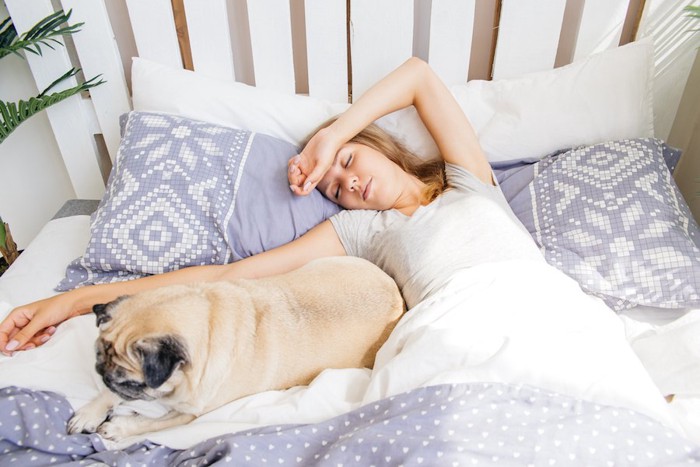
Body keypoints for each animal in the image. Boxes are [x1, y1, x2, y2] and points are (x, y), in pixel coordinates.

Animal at [68, 258, 404, 440]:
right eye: (99, 356)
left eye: (133, 382)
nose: (101, 372)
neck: (207, 321)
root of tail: (394, 290)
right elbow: (110, 397)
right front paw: (92, 411)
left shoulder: (189, 414)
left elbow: (148, 422)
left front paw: (120, 427)